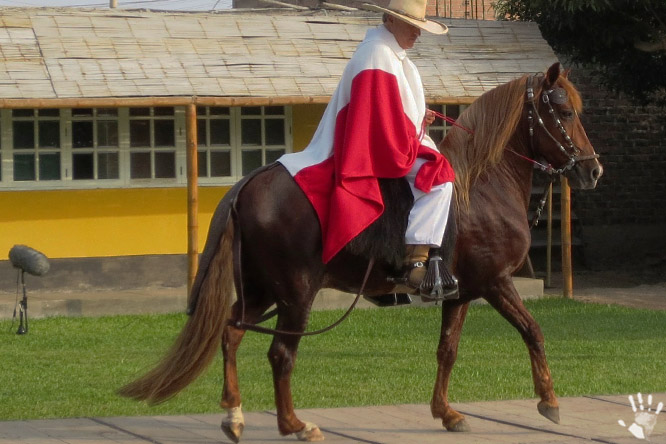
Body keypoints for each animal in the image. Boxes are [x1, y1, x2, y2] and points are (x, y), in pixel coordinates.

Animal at [119, 62, 603, 442]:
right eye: (563, 112)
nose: (593, 170)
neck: (482, 185)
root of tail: (251, 182)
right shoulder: (495, 283)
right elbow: (533, 331)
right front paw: (549, 400)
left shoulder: (461, 292)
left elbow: (447, 350)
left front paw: (446, 412)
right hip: (295, 294)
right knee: (280, 354)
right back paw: (294, 424)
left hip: (261, 291)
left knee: (231, 334)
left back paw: (234, 415)